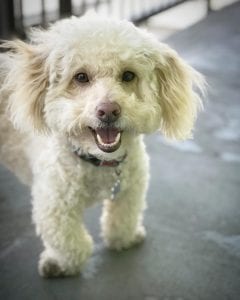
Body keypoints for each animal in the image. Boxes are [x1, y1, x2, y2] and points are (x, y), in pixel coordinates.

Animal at [0, 14, 204, 276]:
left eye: (128, 75)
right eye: (80, 77)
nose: (108, 110)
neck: (98, 162)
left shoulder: (131, 189)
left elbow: (124, 219)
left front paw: (125, 239)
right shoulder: (54, 204)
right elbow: (70, 242)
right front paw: (60, 264)